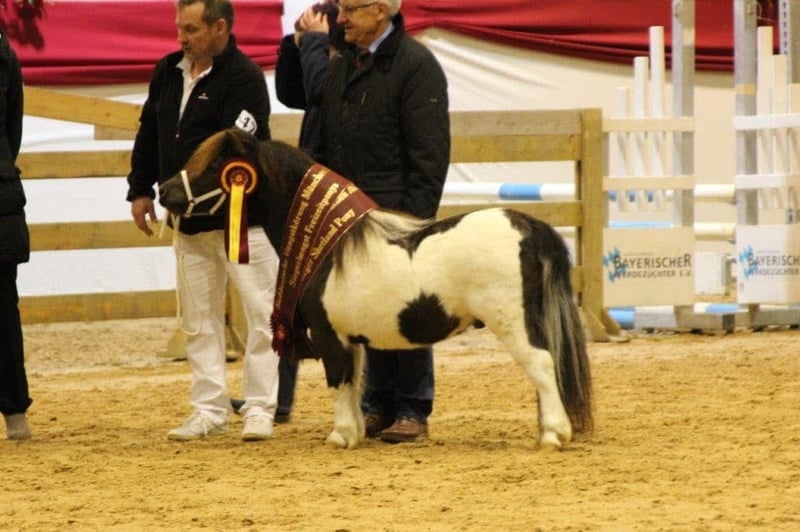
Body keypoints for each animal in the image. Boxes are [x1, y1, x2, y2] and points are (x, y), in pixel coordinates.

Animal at [158, 128, 593, 450]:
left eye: (218, 164)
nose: (164, 191)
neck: (327, 247)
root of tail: (528, 226)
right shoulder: (351, 340)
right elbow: (354, 384)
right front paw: (355, 431)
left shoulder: (329, 336)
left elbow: (338, 381)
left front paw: (339, 436)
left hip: (513, 322)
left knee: (542, 365)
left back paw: (554, 435)